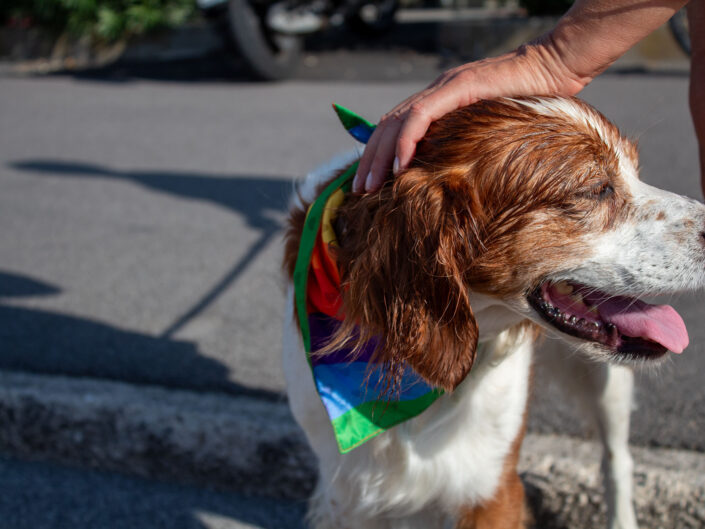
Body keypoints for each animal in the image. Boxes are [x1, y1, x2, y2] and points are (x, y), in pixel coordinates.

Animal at [280, 98, 704, 528]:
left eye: (636, 173)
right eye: (596, 189)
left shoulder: (492, 490)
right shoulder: (347, 495)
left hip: (607, 383)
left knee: (616, 459)